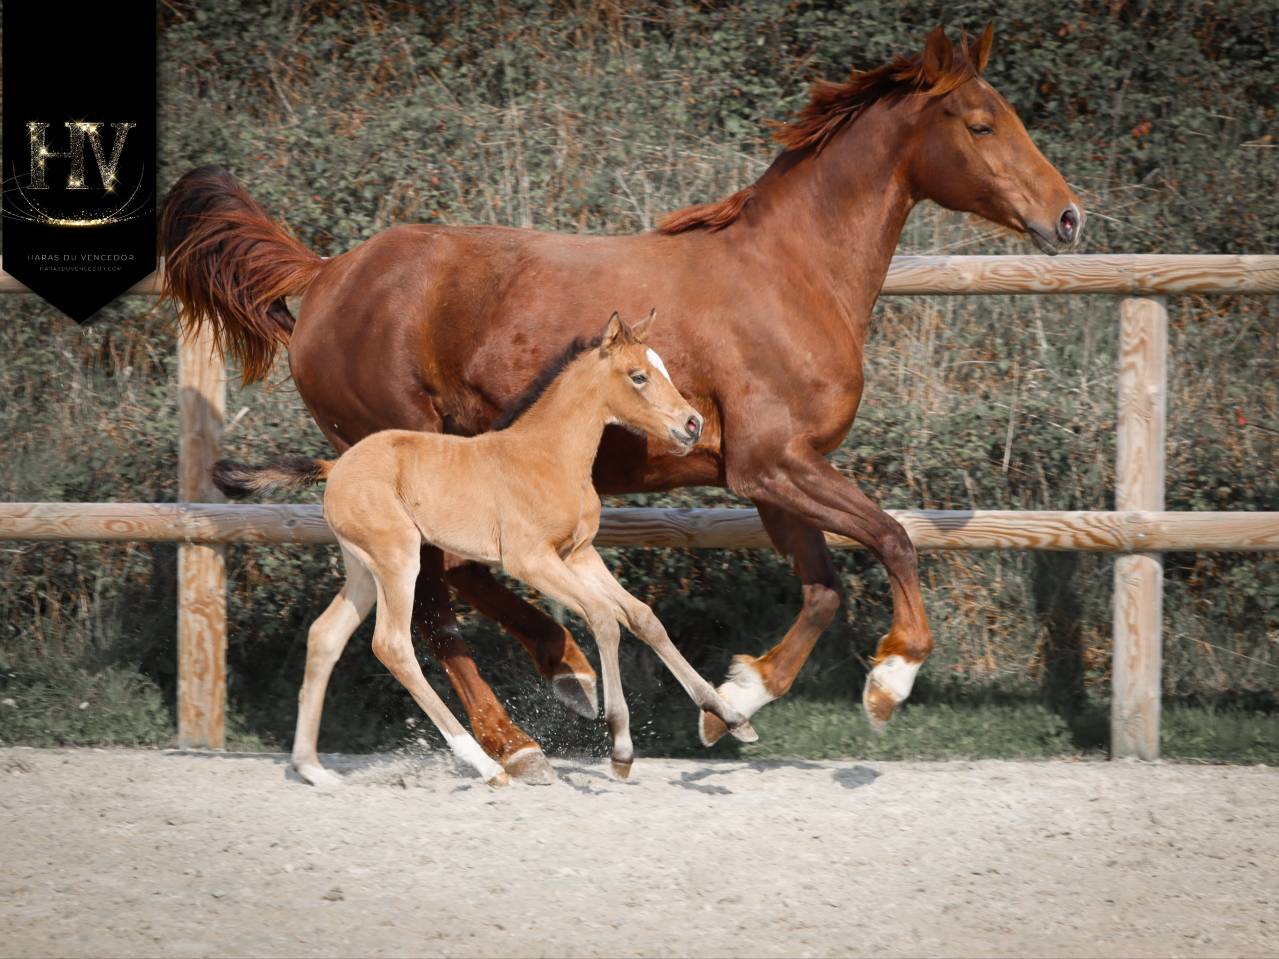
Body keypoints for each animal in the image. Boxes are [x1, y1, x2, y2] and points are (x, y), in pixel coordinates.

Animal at [212, 311, 757, 786]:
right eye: (638, 376)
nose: (692, 425)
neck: (549, 455)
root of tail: (335, 466)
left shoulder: (578, 554)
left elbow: (643, 616)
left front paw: (729, 716)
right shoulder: (531, 560)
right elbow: (604, 618)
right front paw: (621, 748)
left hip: (364, 568)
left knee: (325, 635)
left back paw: (313, 770)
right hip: (398, 558)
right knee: (392, 644)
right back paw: (488, 765)